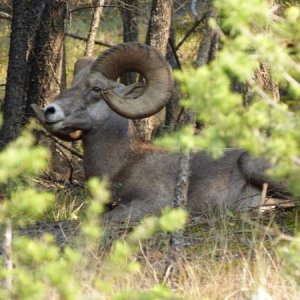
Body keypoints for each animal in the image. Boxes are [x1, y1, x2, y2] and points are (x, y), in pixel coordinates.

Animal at [32, 42, 290, 221]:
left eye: (97, 88)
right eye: (72, 84)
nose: (49, 111)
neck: (123, 163)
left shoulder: (149, 204)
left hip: (252, 165)